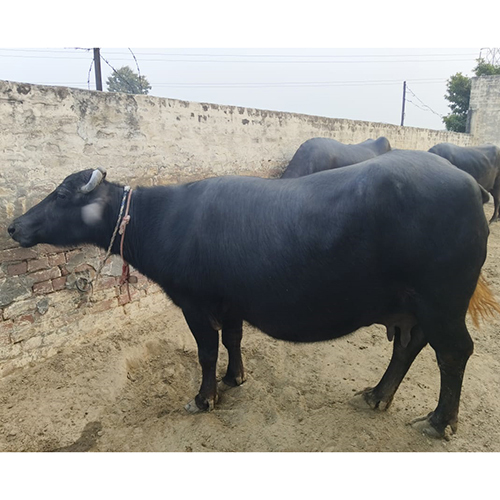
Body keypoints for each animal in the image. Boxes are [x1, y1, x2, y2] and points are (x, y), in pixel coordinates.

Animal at [6, 150, 496, 440]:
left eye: (62, 193)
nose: (14, 226)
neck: (164, 219)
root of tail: (472, 186)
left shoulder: (195, 303)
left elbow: (206, 351)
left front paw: (204, 397)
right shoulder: (231, 303)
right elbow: (234, 339)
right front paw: (235, 378)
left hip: (442, 304)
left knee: (454, 353)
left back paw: (439, 422)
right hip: (413, 308)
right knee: (410, 346)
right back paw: (377, 395)